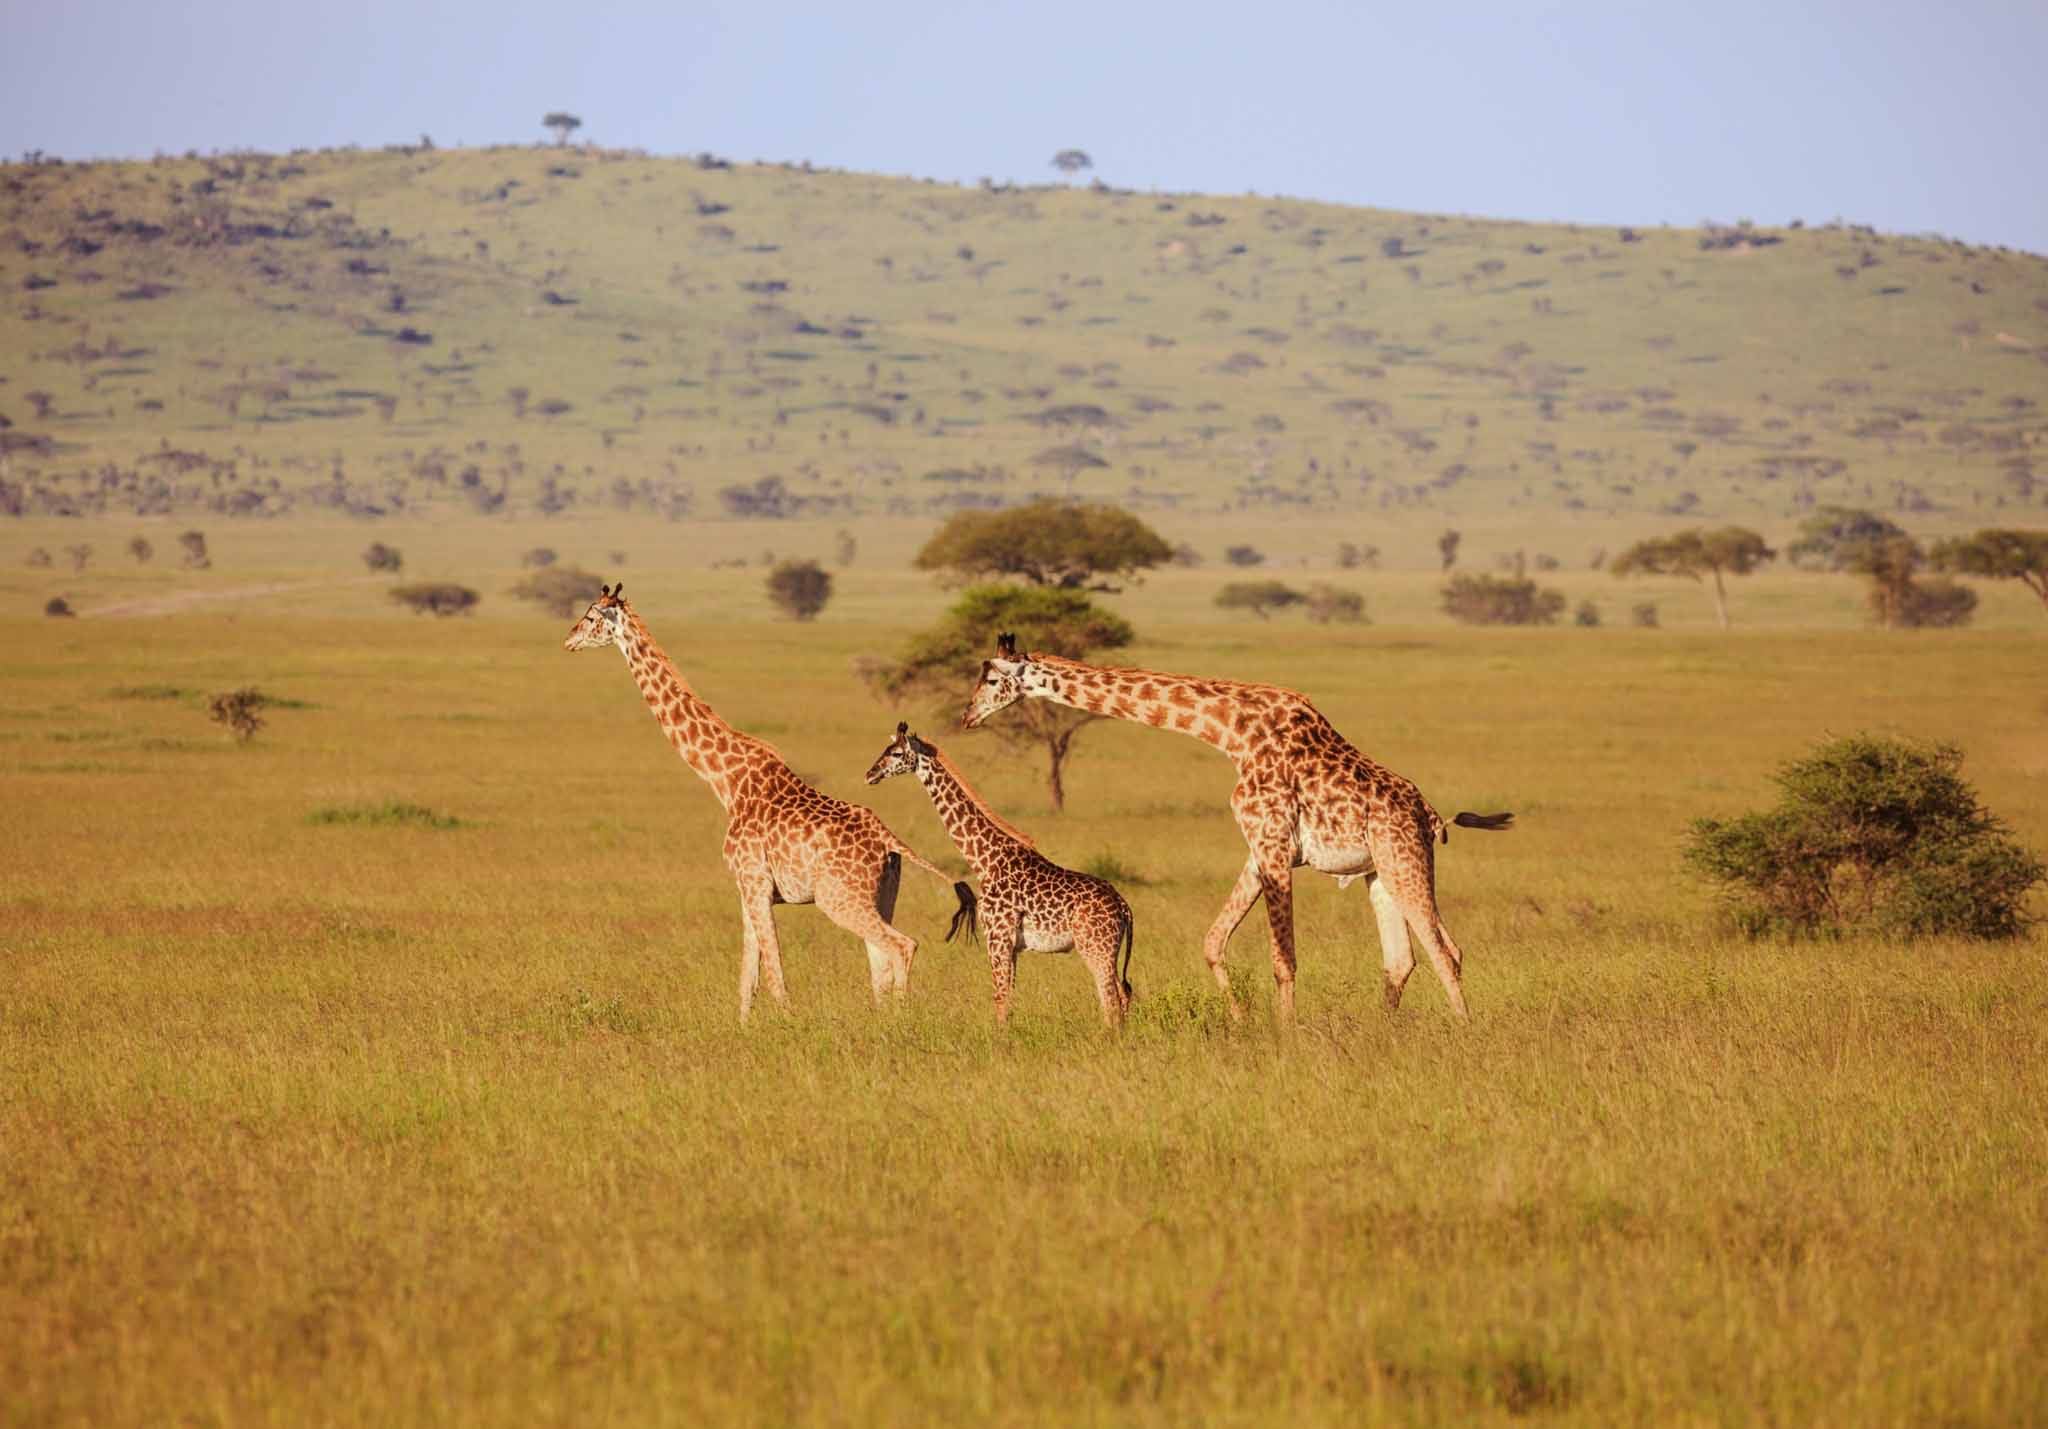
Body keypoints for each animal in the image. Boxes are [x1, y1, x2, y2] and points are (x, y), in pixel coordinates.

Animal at [561, 585, 974, 1019]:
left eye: (591, 617)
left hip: (838, 897)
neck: (726, 781)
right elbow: (748, 975)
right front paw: (745, 1027)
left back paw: (900, 1019)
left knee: (902, 945)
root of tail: (889, 841)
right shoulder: (746, 887)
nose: (568, 639)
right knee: (880, 959)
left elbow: (774, 970)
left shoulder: (755, 881)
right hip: (882, 895)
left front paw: (790, 1024)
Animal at [856, 724, 1130, 1023]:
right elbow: (1008, 995)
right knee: (1123, 993)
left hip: (1095, 947)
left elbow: (1000, 996)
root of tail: (1124, 908)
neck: (985, 860)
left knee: (1110, 998)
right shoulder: (1011, 944)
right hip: (1108, 950)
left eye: (895, 753)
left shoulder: (997, 936)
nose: (869, 774)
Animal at [954, 630, 1507, 1011]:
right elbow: (1213, 942)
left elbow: (1283, 960)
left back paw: (1463, 1033)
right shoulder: (1259, 847)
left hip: (1402, 855)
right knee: (1401, 960)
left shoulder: (1273, 843)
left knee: (1446, 952)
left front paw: (1287, 1040)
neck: (1230, 733)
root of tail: (1429, 815)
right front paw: (1241, 1020)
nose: (965, 717)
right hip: (1377, 870)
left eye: (991, 679)